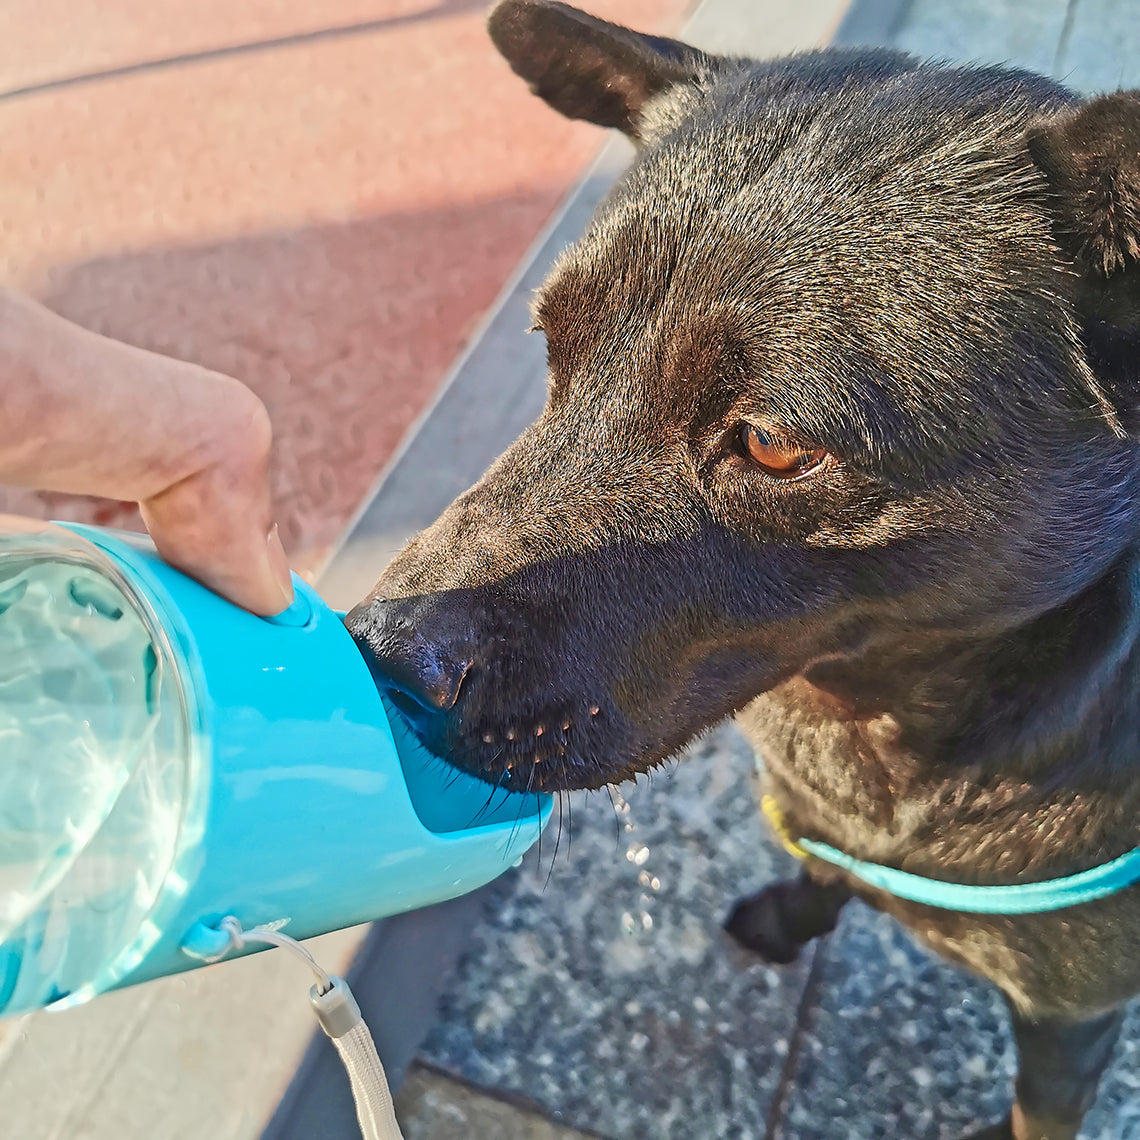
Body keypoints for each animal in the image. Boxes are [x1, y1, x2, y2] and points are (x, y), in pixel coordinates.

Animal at [344, 4, 1140, 1135]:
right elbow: (815, 869)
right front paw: (793, 912)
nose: (379, 657)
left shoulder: (1072, 1023)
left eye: (770, 443)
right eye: (553, 350)